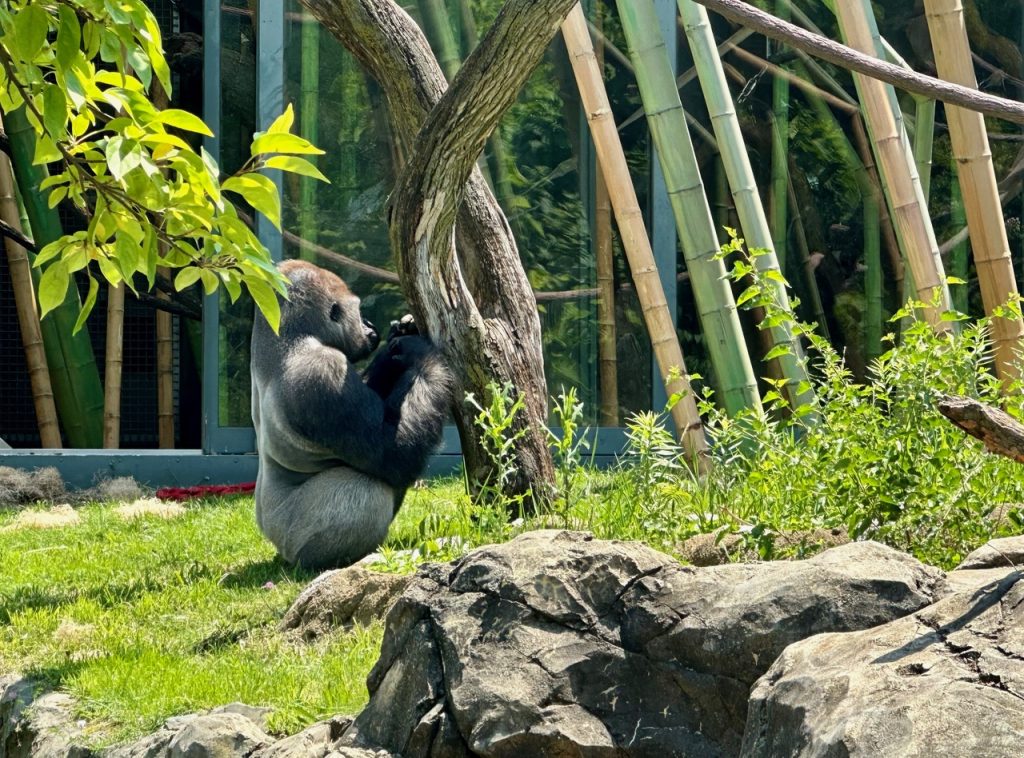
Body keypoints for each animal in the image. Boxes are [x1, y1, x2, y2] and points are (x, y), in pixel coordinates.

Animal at [250, 260, 453, 570]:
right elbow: (393, 452)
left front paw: (400, 336)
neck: (289, 339)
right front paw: (420, 353)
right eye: (357, 311)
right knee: (366, 489)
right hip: (293, 541)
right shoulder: (323, 372)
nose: (368, 325)